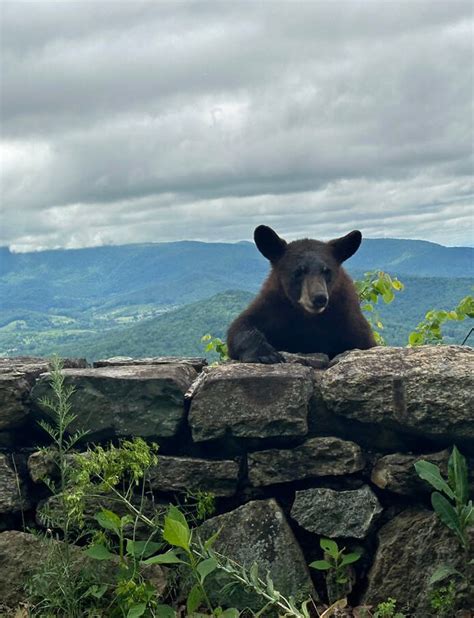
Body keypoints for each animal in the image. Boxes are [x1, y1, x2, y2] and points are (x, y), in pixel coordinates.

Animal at [228, 225, 376, 360]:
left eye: (327, 271)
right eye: (298, 271)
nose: (319, 297)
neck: (308, 317)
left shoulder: (346, 315)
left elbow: (363, 341)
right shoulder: (273, 305)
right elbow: (241, 326)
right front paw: (265, 354)